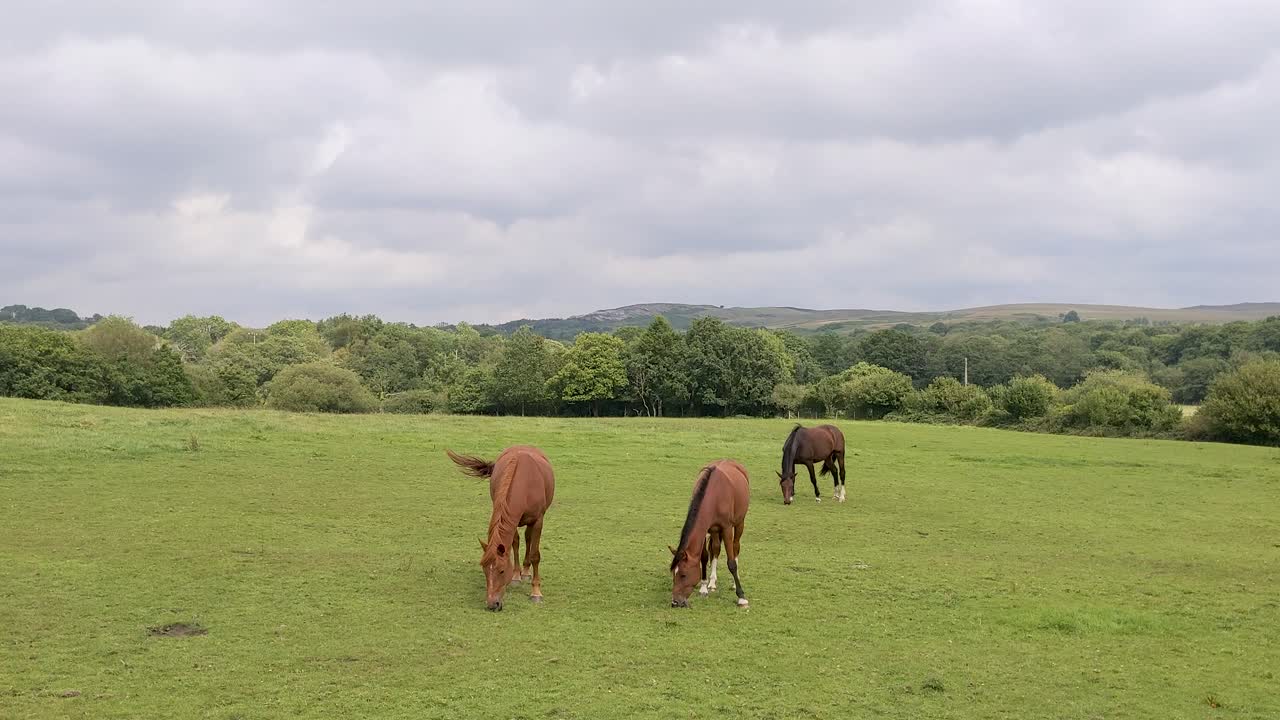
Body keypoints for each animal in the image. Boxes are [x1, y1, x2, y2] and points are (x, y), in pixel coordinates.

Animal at [446, 445, 555, 611]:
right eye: (484, 570)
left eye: (502, 570)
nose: (492, 604)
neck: (525, 483)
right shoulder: (511, 518)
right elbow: (514, 544)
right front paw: (515, 576)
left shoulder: (538, 521)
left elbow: (535, 555)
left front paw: (536, 592)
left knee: (528, 539)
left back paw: (526, 572)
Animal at [668, 459, 750, 608]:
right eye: (673, 574)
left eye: (683, 575)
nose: (675, 602)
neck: (714, 494)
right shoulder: (705, 529)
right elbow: (704, 557)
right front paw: (703, 587)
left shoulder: (727, 528)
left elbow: (731, 563)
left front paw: (741, 597)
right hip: (714, 530)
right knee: (716, 549)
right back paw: (712, 582)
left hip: (739, 523)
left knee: (736, 546)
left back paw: (734, 583)